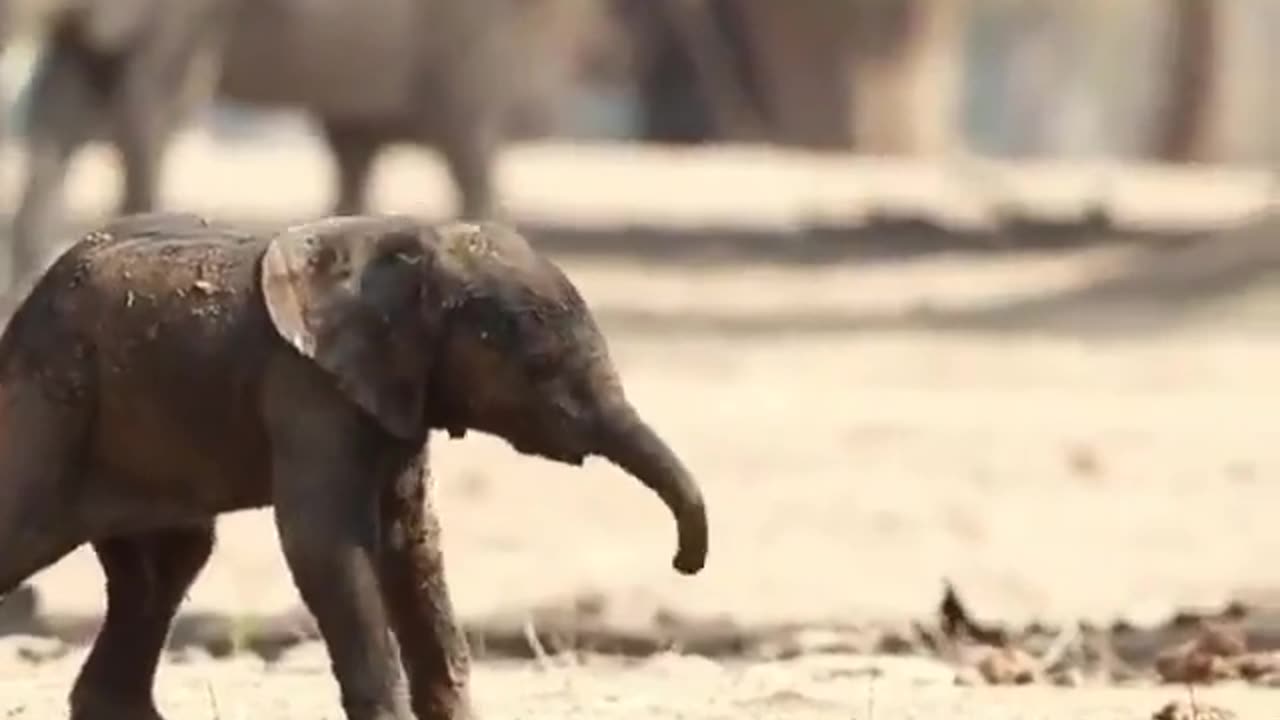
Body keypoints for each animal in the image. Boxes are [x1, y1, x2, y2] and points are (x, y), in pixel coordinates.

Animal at [0, 211, 711, 717]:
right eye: (538, 368)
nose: (684, 564)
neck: (414, 248)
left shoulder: (396, 393)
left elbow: (411, 545)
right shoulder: (305, 388)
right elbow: (325, 544)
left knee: (165, 568)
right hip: (52, 402)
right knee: (31, 534)